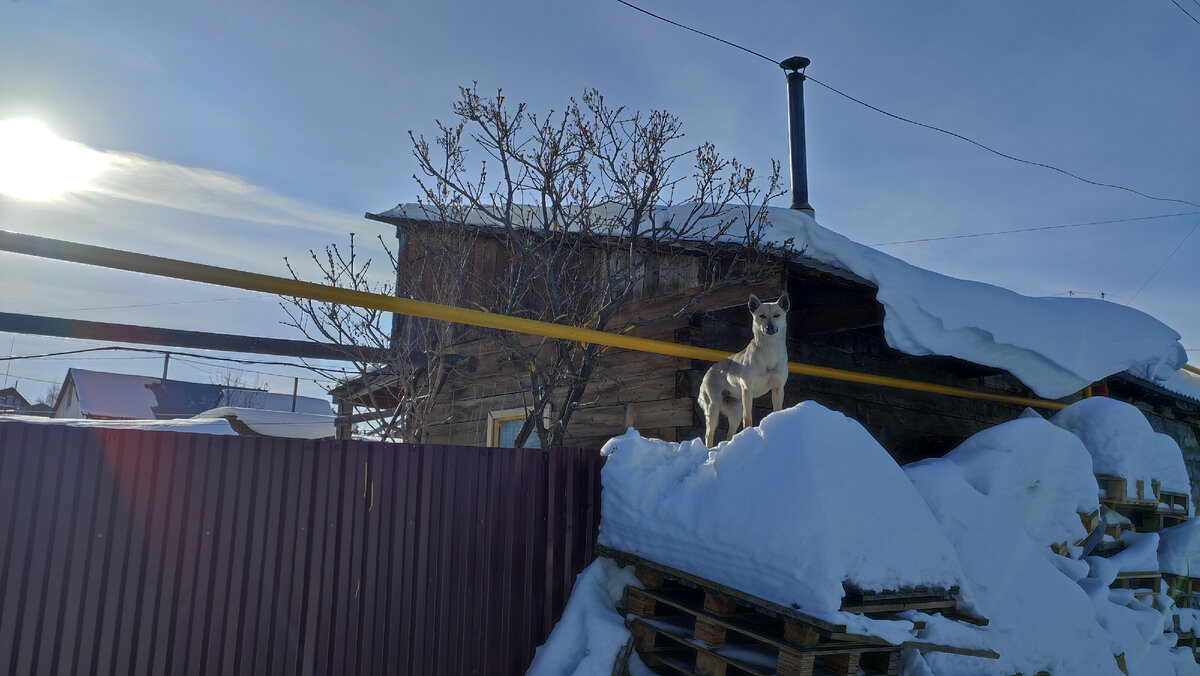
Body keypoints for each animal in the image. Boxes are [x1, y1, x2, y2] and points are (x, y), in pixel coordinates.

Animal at [700, 291, 792, 446]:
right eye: (762, 316)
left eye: (776, 315)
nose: (769, 328)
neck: (769, 352)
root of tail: (708, 371)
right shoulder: (747, 390)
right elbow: (748, 419)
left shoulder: (778, 389)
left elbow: (776, 409)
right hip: (713, 408)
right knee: (708, 435)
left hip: (735, 411)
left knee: (729, 435)